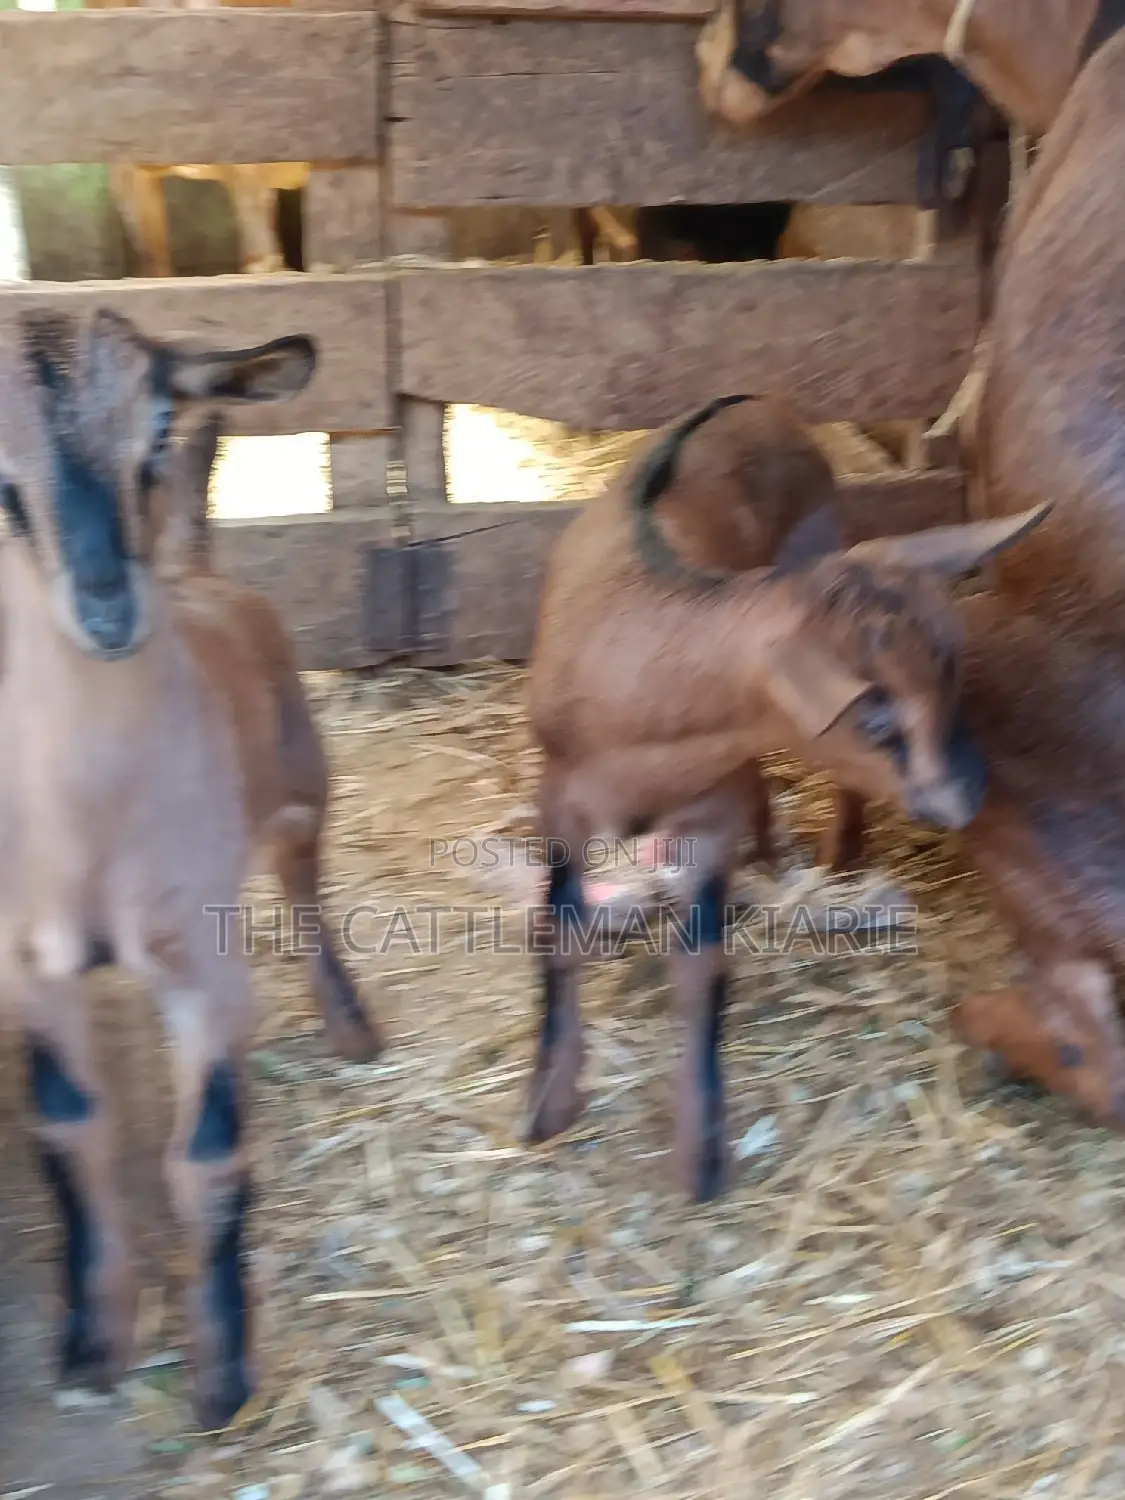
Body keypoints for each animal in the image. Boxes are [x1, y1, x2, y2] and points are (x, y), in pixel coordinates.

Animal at [0, 307, 380, 1430]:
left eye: (162, 421)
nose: (107, 609)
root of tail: (197, 567)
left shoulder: (205, 972)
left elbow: (205, 1153)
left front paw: (222, 1372)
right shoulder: (27, 969)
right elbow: (68, 1132)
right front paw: (93, 1342)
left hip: (301, 780)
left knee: (306, 892)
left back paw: (350, 1023)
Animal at [526, 393, 1049, 1202]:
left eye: (954, 674)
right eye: (873, 717)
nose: (966, 795)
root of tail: (754, 400)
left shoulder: (707, 813)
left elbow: (701, 966)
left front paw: (700, 1152)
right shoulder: (560, 800)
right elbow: (559, 931)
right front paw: (548, 1103)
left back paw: (832, 853)